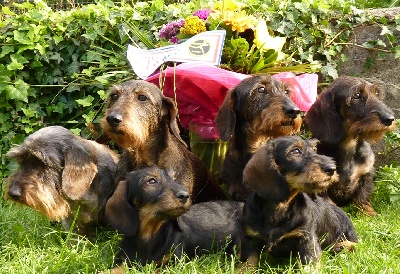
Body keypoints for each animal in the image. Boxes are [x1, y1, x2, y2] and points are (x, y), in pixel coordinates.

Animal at [106, 167, 242, 268]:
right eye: (151, 181)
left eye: (174, 179)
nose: (185, 195)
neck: (148, 236)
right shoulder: (124, 260)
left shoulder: (172, 262)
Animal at [239, 136, 358, 268]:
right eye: (295, 151)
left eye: (315, 149)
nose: (332, 169)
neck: (280, 207)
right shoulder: (250, 239)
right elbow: (247, 265)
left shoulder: (307, 238)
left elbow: (310, 265)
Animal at [304, 75, 396, 216]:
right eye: (357, 95)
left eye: (377, 93)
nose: (390, 119)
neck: (349, 145)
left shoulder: (367, 173)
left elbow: (363, 196)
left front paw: (369, 213)